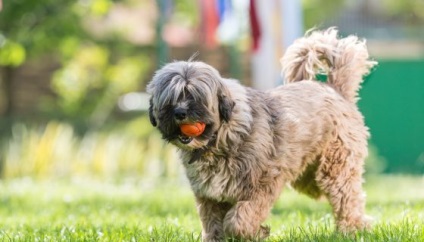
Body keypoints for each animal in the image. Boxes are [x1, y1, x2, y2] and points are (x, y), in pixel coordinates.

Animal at [147, 28, 376, 242]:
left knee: (348, 198)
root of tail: (334, 89)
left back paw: (353, 228)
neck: (221, 137)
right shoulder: (209, 197)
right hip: (307, 179)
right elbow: (213, 225)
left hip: (335, 169)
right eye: (170, 99)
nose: (179, 113)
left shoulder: (262, 186)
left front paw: (256, 232)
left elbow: (239, 220)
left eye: (195, 96)